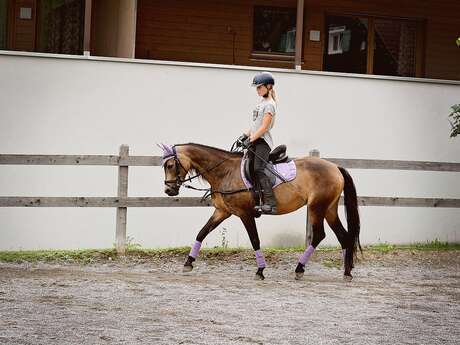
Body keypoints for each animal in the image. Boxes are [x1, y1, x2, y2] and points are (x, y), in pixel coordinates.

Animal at [158, 142, 362, 280]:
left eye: (170, 165)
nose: (169, 190)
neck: (225, 172)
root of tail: (335, 167)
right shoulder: (222, 212)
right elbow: (201, 233)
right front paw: (188, 263)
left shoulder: (245, 214)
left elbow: (254, 240)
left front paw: (260, 270)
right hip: (329, 209)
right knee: (344, 236)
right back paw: (347, 272)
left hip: (316, 207)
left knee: (319, 234)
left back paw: (299, 269)